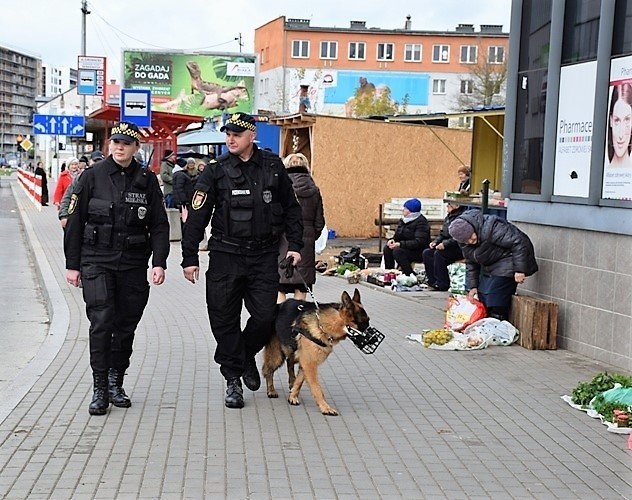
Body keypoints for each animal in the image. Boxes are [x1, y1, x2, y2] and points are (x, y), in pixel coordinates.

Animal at [262, 288, 370, 416]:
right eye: (363, 324)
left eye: (368, 322)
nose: (374, 338)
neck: (323, 324)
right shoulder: (309, 365)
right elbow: (317, 388)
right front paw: (325, 407)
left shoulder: (306, 364)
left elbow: (299, 382)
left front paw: (292, 397)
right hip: (277, 356)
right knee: (268, 370)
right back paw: (271, 390)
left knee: (289, 364)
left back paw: (290, 383)